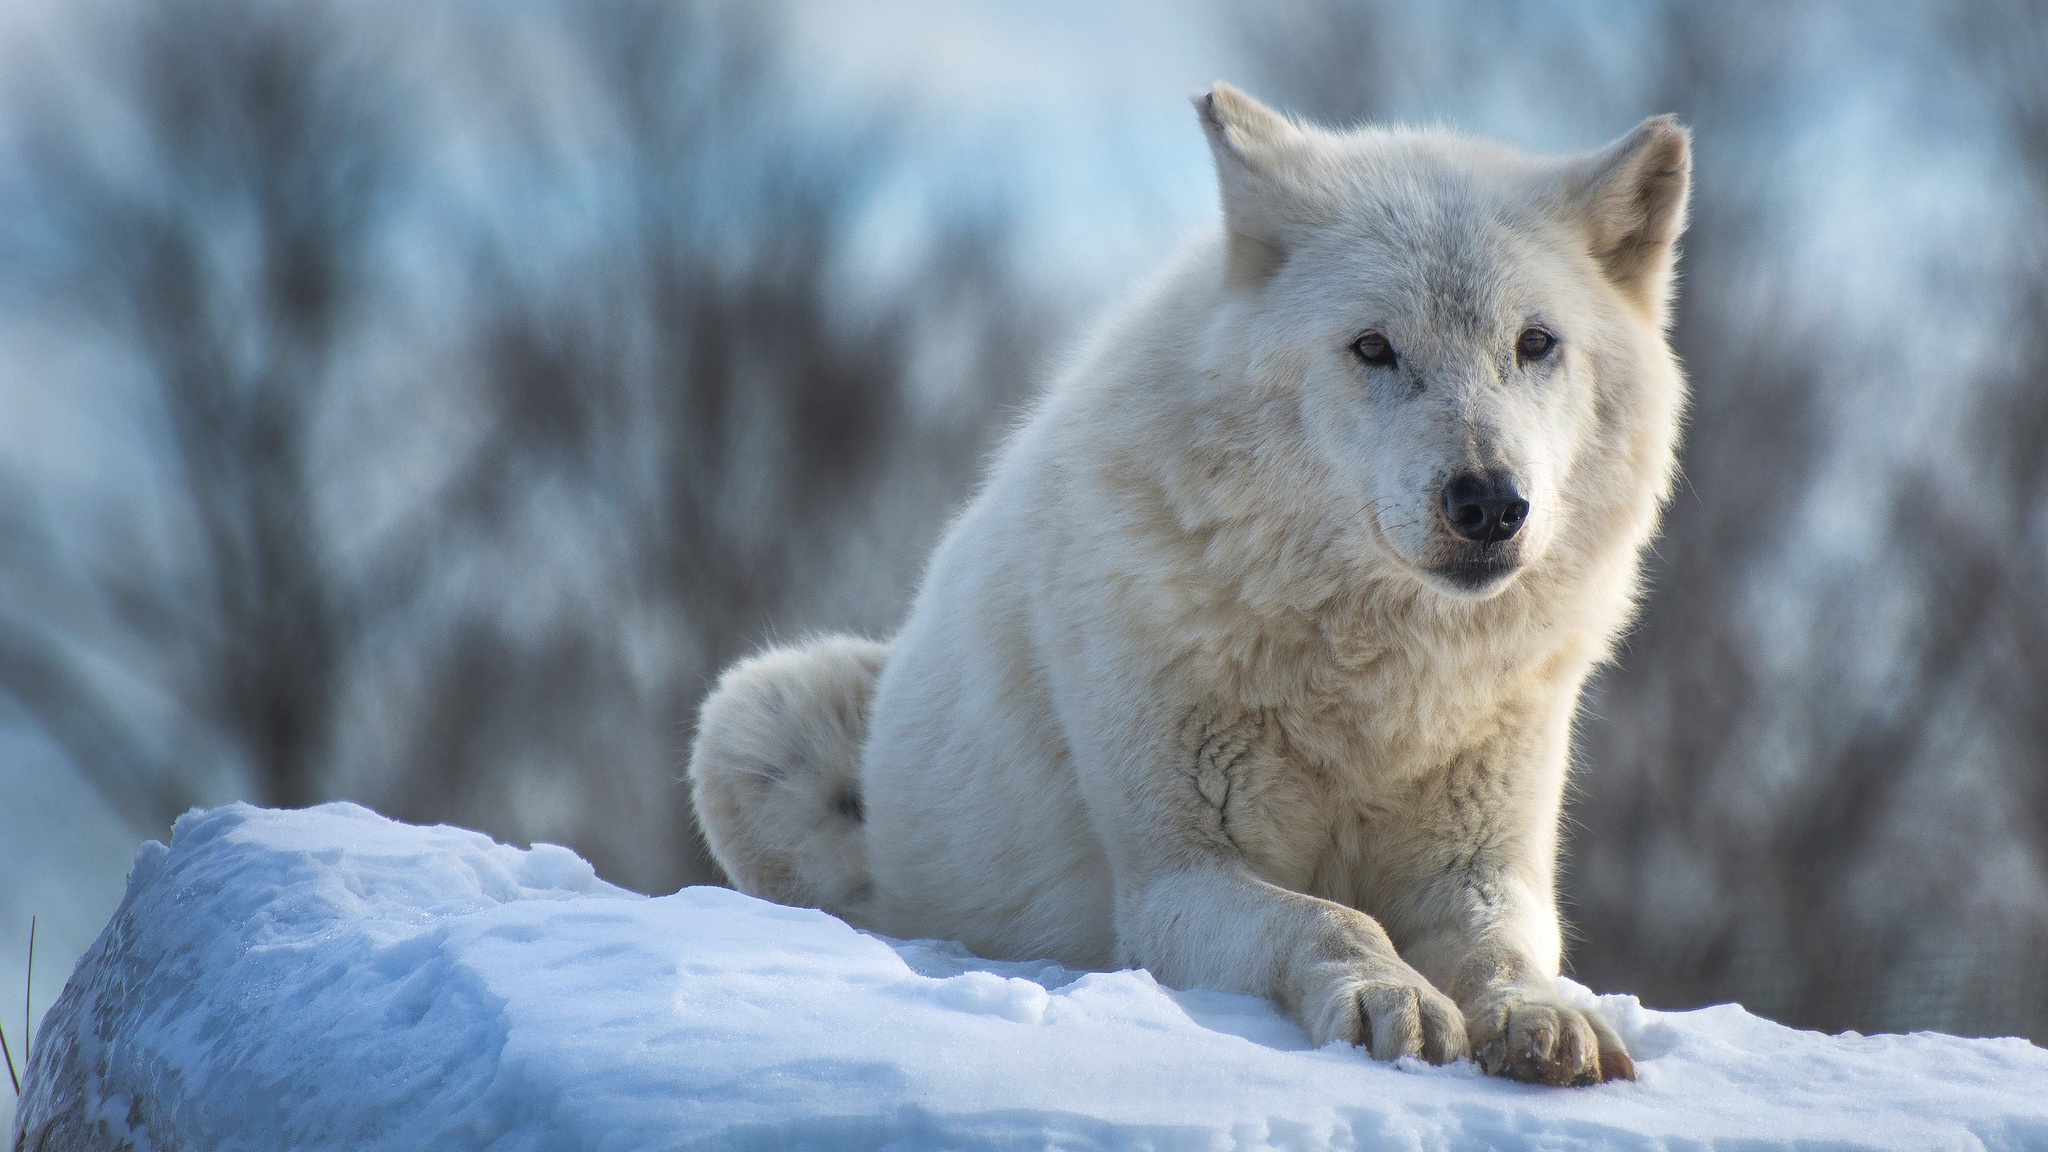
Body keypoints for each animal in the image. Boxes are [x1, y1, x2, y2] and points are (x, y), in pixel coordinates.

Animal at [696, 85, 1687, 1082]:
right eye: (1373, 347)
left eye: (1535, 343)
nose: (1488, 501)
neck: (1377, 690)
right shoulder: (1178, 881)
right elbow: (1336, 920)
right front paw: (1392, 996)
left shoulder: (1481, 874)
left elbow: (1504, 954)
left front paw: (1543, 1018)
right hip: (755, 709)